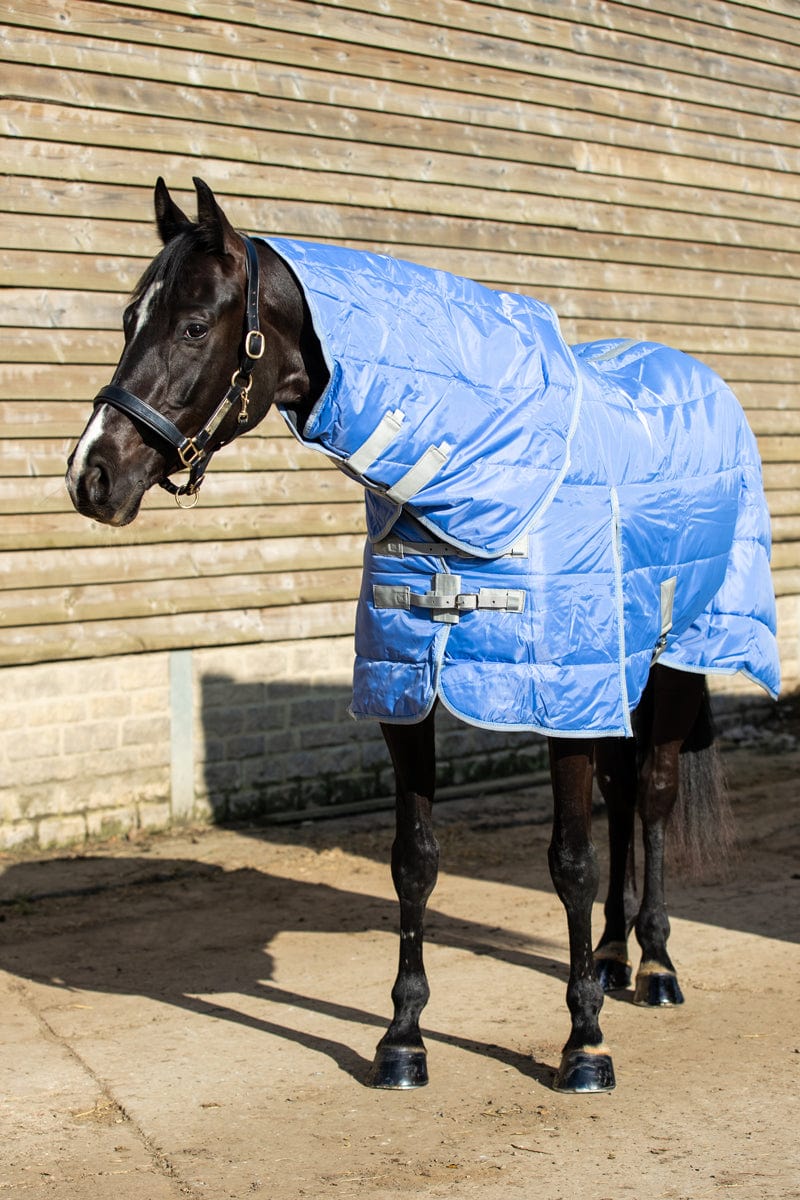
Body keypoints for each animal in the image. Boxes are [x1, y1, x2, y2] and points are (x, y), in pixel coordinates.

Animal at [65, 178, 780, 1094]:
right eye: (129, 319)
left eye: (193, 325)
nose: (92, 475)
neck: (477, 482)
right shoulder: (405, 689)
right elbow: (415, 859)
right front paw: (402, 1038)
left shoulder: (558, 703)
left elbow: (569, 863)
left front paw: (583, 1044)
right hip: (617, 672)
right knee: (624, 800)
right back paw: (614, 957)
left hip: (679, 656)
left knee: (651, 799)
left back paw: (652, 965)